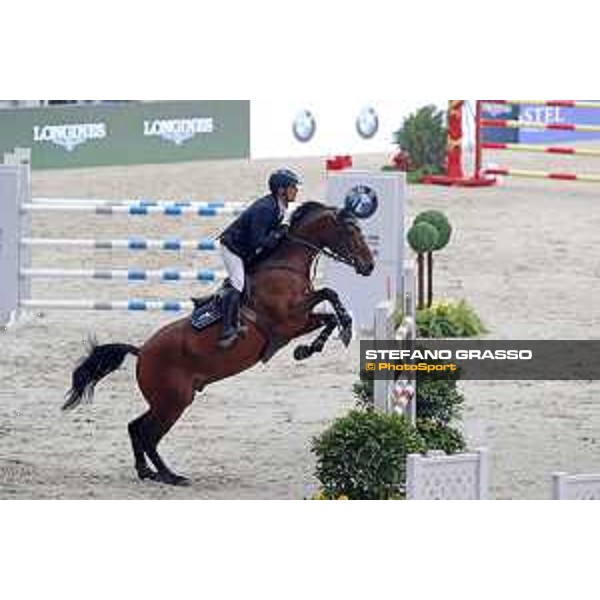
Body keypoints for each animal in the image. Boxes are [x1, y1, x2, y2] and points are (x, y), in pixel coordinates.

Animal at [65, 204, 376, 486]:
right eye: (351, 230)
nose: (369, 266)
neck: (285, 265)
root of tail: (141, 352)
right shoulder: (288, 319)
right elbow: (329, 293)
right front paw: (340, 330)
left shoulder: (298, 322)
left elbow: (328, 314)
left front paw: (311, 347)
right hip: (174, 401)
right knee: (148, 435)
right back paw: (170, 476)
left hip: (165, 400)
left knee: (135, 427)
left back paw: (147, 472)